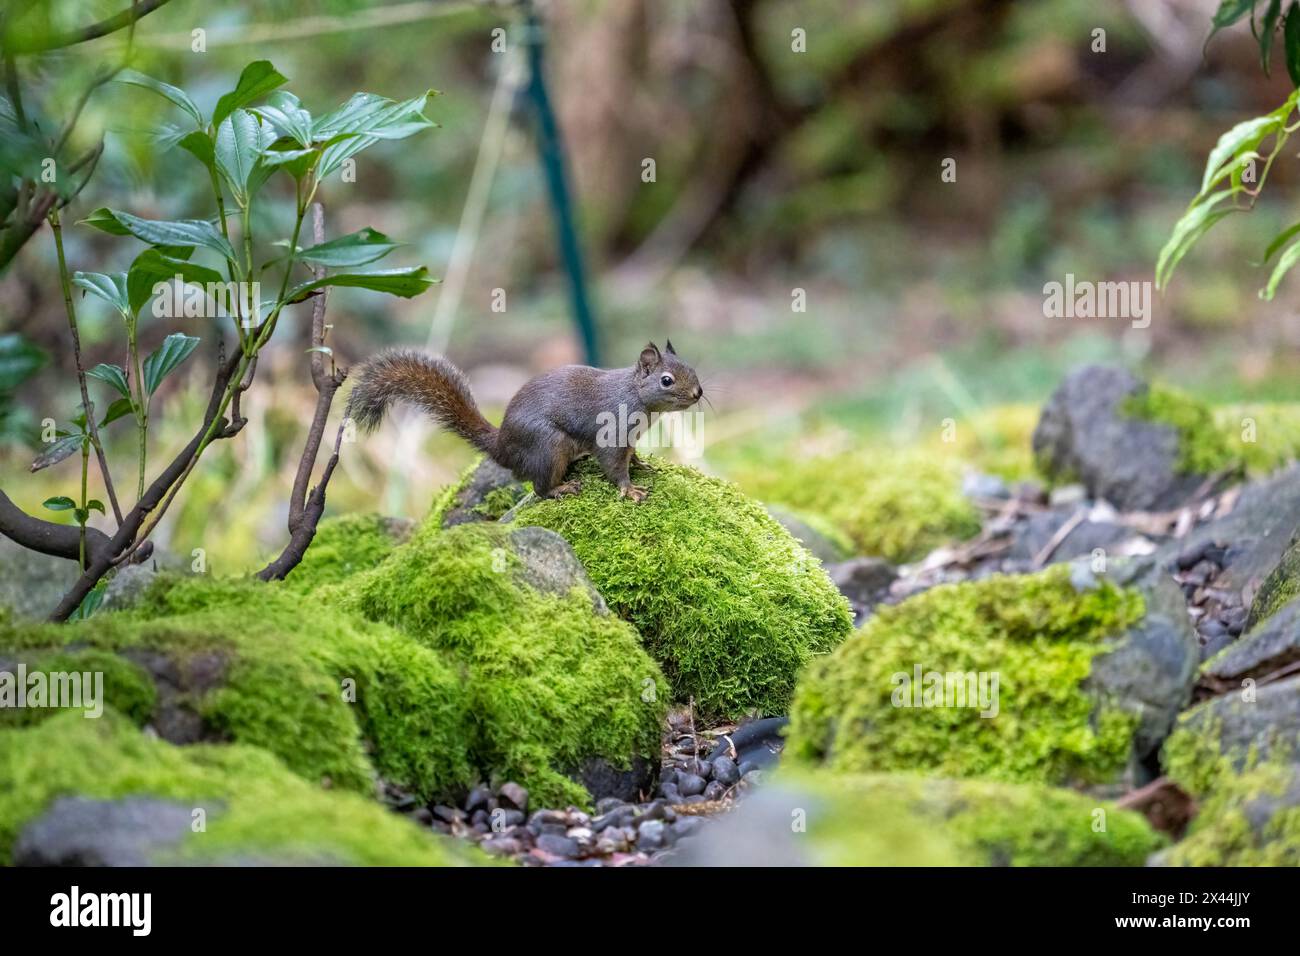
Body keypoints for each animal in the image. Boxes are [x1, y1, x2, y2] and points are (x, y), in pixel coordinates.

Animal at [346, 341, 703, 501]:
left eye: (692, 367)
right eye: (667, 380)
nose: (699, 393)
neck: (636, 396)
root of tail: (502, 447)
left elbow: (632, 455)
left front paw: (642, 464)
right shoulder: (611, 430)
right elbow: (614, 464)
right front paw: (629, 489)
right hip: (548, 446)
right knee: (539, 486)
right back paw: (560, 488)